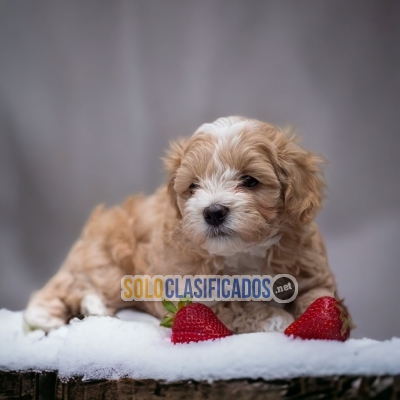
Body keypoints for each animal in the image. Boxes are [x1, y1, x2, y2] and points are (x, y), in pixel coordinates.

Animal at [24, 116, 338, 334]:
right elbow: (233, 305)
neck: (244, 253)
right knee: (63, 287)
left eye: (250, 181)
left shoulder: (311, 270)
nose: (213, 212)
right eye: (193, 186)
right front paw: (274, 318)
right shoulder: (190, 291)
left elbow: (319, 298)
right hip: (105, 262)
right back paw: (59, 313)